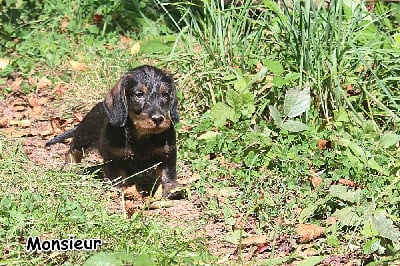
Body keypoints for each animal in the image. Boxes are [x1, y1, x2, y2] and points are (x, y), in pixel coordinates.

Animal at [45, 65, 180, 197]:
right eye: (139, 94)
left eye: (165, 94)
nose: (158, 119)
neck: (142, 136)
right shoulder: (113, 158)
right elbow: (116, 178)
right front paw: (118, 192)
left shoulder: (167, 154)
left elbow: (167, 174)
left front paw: (169, 192)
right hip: (83, 137)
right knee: (72, 152)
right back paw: (70, 168)